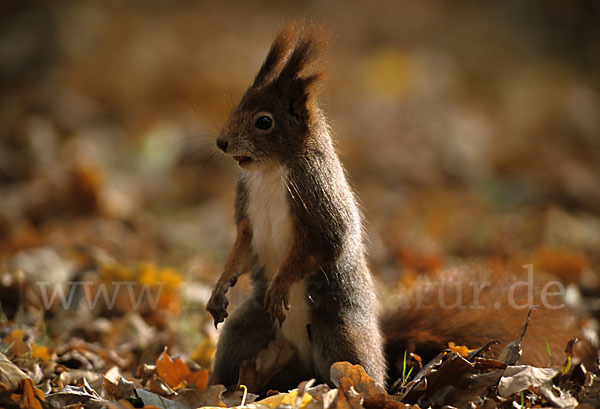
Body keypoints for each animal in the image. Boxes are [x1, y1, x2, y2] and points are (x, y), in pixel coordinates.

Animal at [206, 23, 592, 392]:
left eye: (264, 121)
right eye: (238, 104)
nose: (221, 143)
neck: (271, 170)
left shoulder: (318, 200)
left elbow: (321, 244)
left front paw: (280, 285)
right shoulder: (247, 210)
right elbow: (244, 247)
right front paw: (221, 287)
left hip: (340, 337)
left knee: (360, 374)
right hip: (246, 333)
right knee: (233, 357)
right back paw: (222, 389)